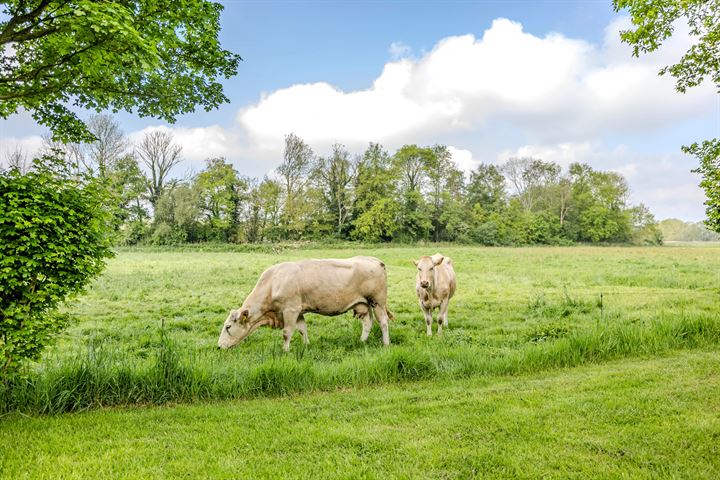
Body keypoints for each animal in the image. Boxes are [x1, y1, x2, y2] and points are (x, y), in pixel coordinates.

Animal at [217, 255, 390, 352]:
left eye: (228, 327)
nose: (218, 347)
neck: (273, 283)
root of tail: (375, 260)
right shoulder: (298, 311)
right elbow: (302, 330)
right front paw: (306, 345)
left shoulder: (290, 310)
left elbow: (287, 333)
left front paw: (285, 351)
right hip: (363, 304)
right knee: (367, 323)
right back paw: (362, 341)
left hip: (377, 301)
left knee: (383, 322)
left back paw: (386, 344)